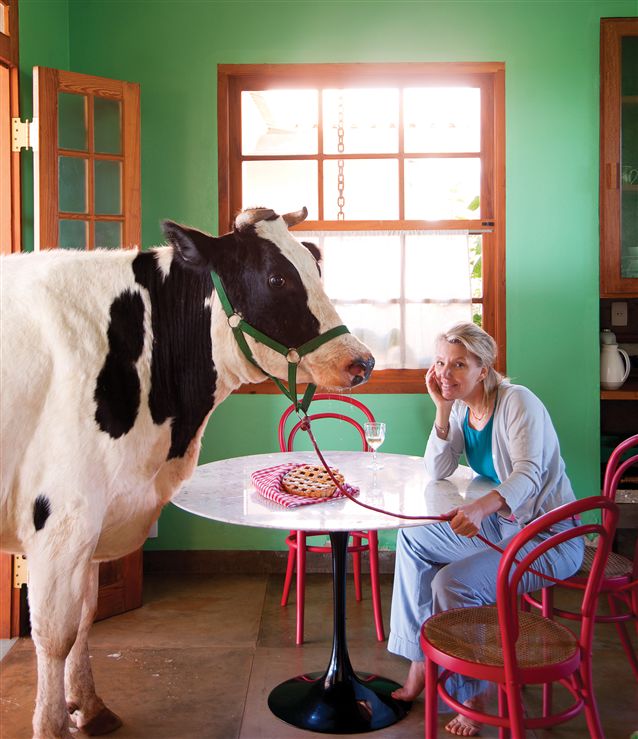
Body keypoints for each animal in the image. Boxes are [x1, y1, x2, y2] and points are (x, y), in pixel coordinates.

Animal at [0, 204, 376, 739]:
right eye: (277, 277)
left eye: (315, 268)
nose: (361, 362)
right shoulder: (61, 517)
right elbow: (55, 634)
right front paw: (52, 725)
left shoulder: (94, 517)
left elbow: (86, 615)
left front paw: (90, 706)